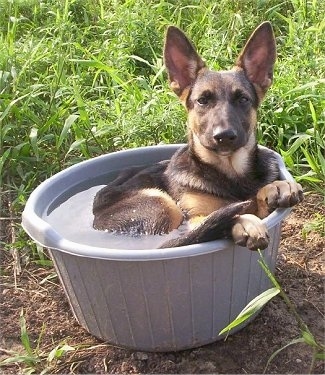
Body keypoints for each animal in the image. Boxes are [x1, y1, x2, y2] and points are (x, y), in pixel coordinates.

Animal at [92, 20, 302, 250]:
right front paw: (244, 221)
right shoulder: (194, 218)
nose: (224, 136)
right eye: (203, 100)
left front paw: (277, 186)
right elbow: (217, 218)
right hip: (162, 205)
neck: (230, 175)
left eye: (243, 99)